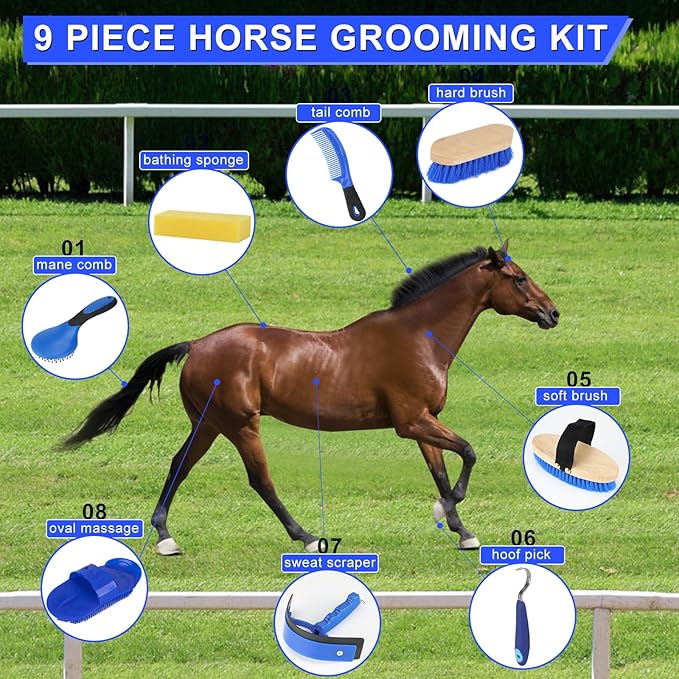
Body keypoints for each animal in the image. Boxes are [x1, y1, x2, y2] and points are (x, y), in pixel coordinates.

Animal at [62, 241, 559, 555]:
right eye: (518, 279)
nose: (552, 313)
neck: (419, 337)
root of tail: (197, 345)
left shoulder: (424, 420)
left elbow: (440, 470)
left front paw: (461, 530)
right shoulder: (411, 421)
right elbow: (469, 453)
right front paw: (450, 508)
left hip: (210, 424)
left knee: (178, 465)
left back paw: (166, 537)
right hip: (240, 424)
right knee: (259, 480)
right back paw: (305, 536)